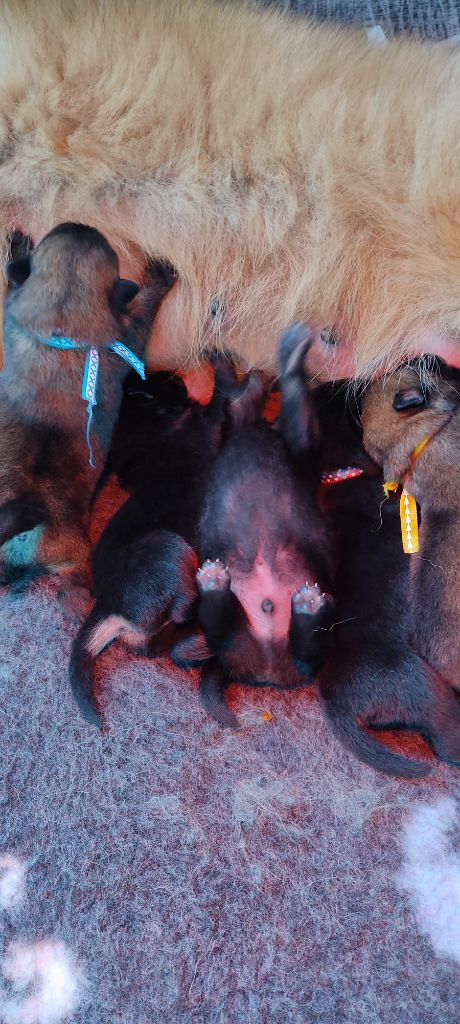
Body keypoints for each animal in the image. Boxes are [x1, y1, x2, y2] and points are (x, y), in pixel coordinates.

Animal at [0, 223, 175, 614]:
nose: (79, 224)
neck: (61, 334)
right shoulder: (129, 334)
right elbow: (144, 307)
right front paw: (158, 278)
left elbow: (11, 286)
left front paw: (17, 252)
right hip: (75, 562)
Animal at [174, 325, 336, 729]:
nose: (256, 375)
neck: (252, 427)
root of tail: (268, 665)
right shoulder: (301, 447)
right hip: (242, 640)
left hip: (273, 642)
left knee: (301, 644)